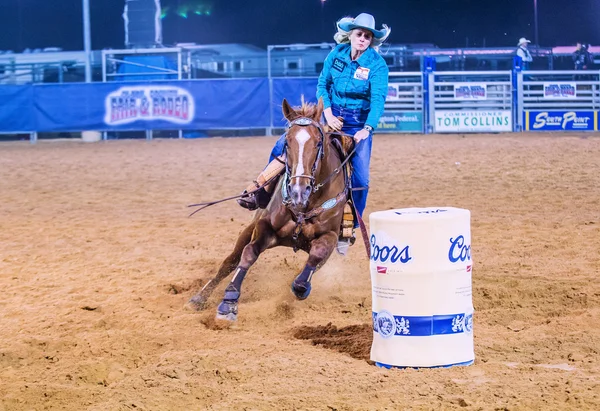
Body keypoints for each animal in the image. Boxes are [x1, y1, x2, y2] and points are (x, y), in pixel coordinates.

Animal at [190, 97, 354, 322]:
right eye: (287, 142)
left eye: (317, 143)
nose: (298, 189)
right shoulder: (264, 226)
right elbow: (248, 255)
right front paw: (229, 301)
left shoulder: (329, 236)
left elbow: (312, 262)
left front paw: (299, 288)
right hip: (248, 229)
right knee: (230, 261)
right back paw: (200, 297)